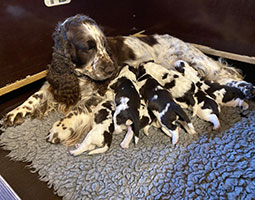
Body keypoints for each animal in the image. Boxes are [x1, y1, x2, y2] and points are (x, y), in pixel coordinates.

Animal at [3, 14, 255, 145]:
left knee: (228, 74)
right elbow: (35, 96)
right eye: (88, 47)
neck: (79, 74)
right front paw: (14, 113)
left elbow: (80, 108)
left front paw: (60, 128)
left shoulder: (102, 92)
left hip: (196, 60)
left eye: (104, 44)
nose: (111, 68)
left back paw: (246, 90)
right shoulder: (58, 81)